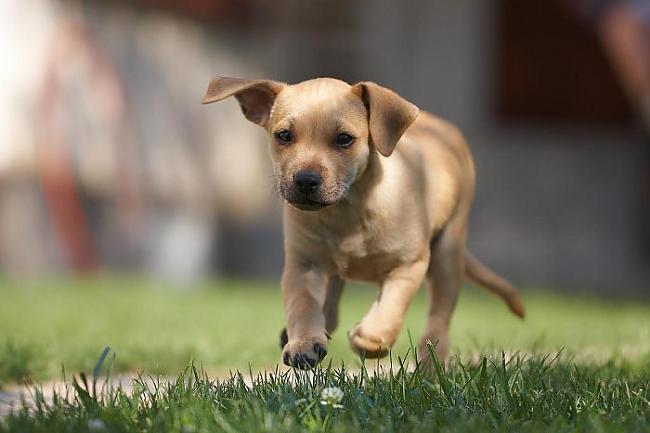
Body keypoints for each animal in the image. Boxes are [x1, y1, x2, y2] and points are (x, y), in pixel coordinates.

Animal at [200, 76, 524, 366]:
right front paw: (303, 342)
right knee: (330, 305)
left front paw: (371, 338)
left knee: (438, 322)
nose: (305, 180)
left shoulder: (409, 264)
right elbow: (302, 304)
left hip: (447, 254)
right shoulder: (303, 265)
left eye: (344, 139)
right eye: (283, 136)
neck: (348, 210)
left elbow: (392, 306)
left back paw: (431, 369)